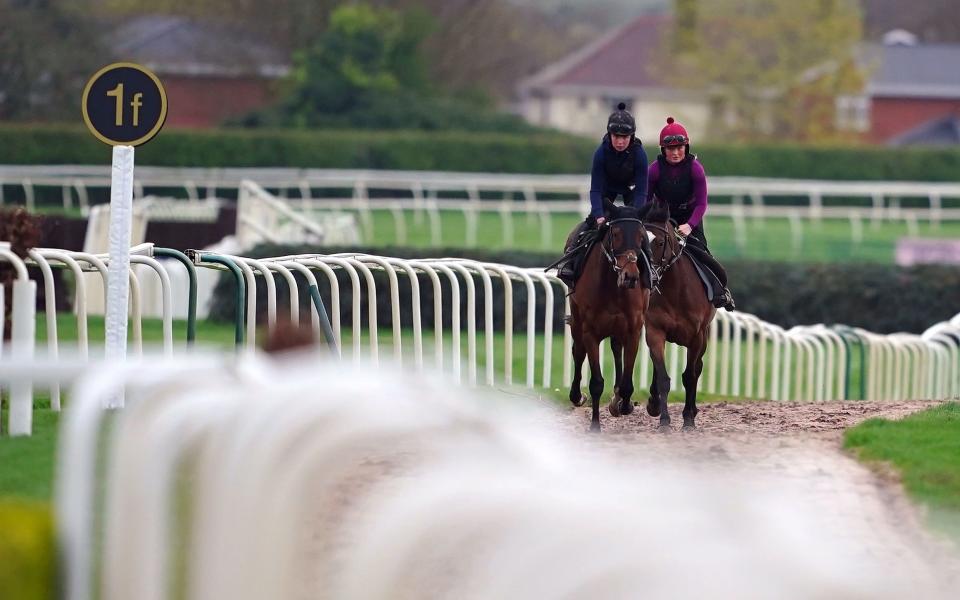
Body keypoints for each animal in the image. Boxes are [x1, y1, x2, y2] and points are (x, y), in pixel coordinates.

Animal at [568, 200, 656, 432]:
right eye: (615, 233)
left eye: (641, 236)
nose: (630, 276)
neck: (613, 288)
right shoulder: (590, 331)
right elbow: (596, 382)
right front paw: (595, 426)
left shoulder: (633, 329)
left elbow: (626, 383)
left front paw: (623, 404)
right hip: (577, 318)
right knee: (578, 351)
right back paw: (576, 395)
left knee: (616, 348)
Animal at [612, 200, 716, 426]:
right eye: (642, 240)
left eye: (659, 242)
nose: (648, 275)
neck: (676, 290)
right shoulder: (655, 330)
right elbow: (662, 377)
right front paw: (664, 420)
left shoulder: (697, 336)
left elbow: (690, 375)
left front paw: (688, 419)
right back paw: (654, 403)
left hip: (704, 335)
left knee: (698, 367)